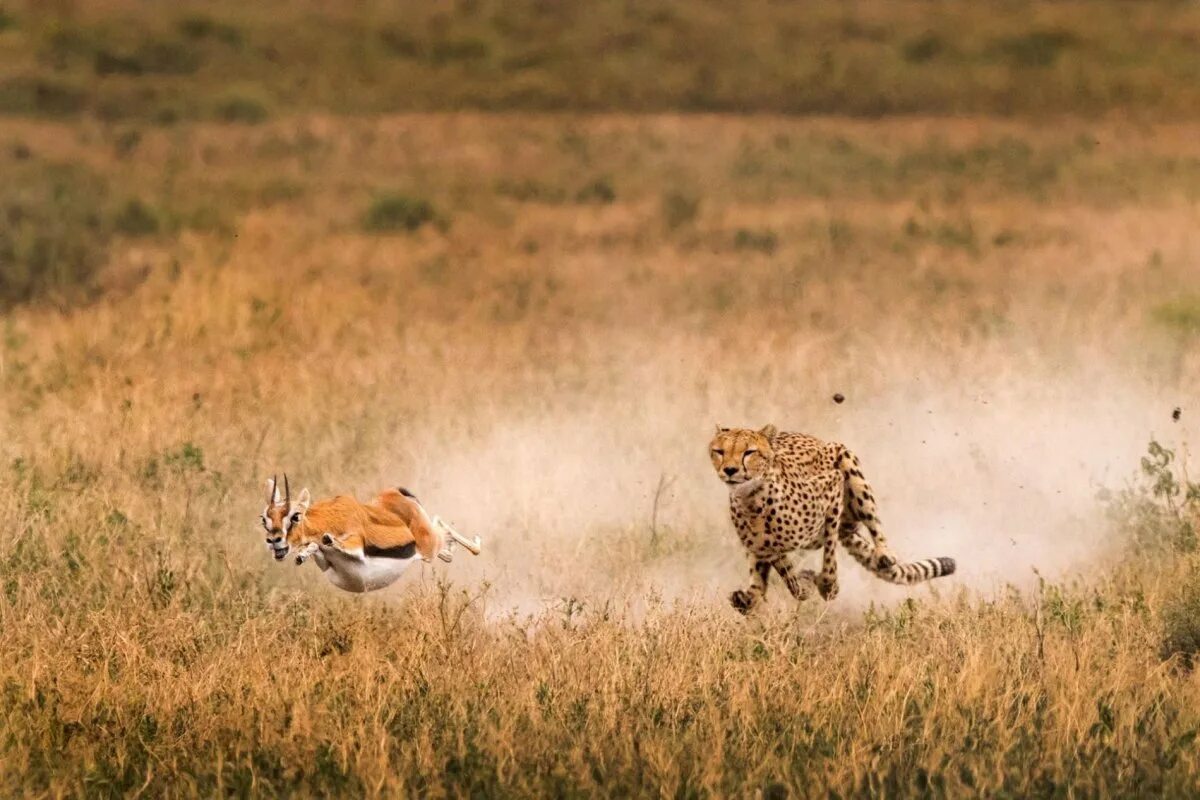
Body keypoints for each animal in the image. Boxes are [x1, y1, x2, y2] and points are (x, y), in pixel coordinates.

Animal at [710, 424, 955, 614]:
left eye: (749, 452)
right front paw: (804, 584)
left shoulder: (833, 487)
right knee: (760, 581)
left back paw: (884, 552)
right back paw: (747, 598)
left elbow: (828, 555)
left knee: (871, 523)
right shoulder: (764, 548)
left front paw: (828, 587)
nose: (730, 470)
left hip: (845, 461)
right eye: (719, 451)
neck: (753, 499)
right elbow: (788, 575)